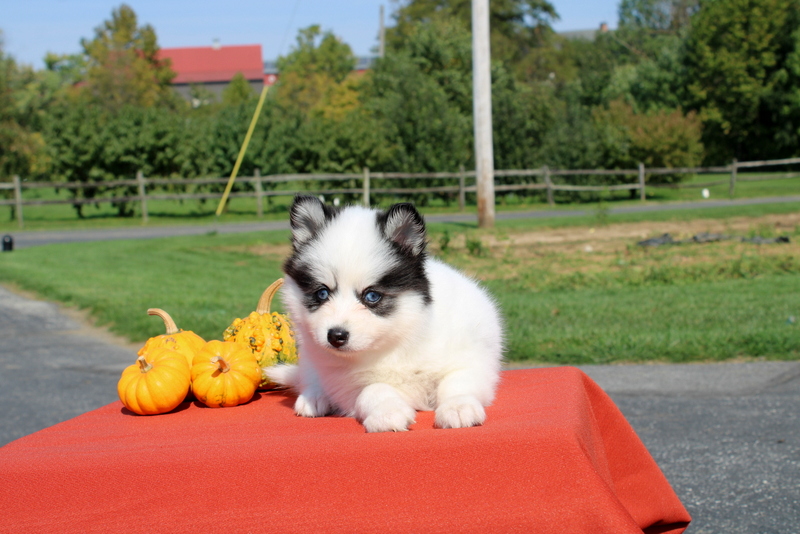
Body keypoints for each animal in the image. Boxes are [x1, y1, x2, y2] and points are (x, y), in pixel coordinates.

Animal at [268, 197, 504, 436]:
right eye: (322, 293)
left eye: (372, 296)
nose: (336, 336)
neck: (395, 343)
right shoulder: (348, 386)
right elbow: (374, 389)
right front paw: (387, 413)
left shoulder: (471, 360)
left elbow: (457, 382)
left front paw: (458, 407)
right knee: (308, 374)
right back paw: (314, 398)